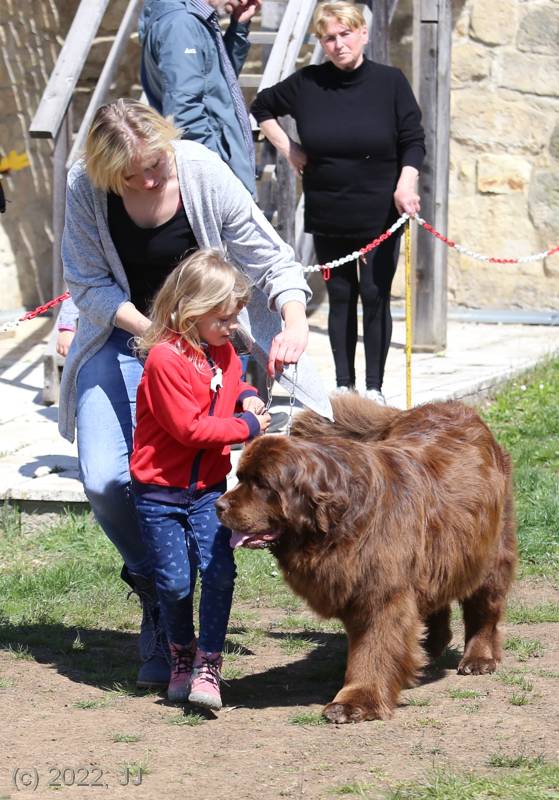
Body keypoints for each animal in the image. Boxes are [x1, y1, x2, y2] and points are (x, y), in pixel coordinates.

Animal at [216, 394, 517, 723]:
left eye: (262, 484)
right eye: (239, 477)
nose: (219, 505)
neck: (341, 522)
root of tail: (455, 406)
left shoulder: (382, 593)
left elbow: (374, 647)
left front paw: (355, 701)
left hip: (490, 548)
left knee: (484, 608)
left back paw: (479, 657)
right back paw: (429, 645)